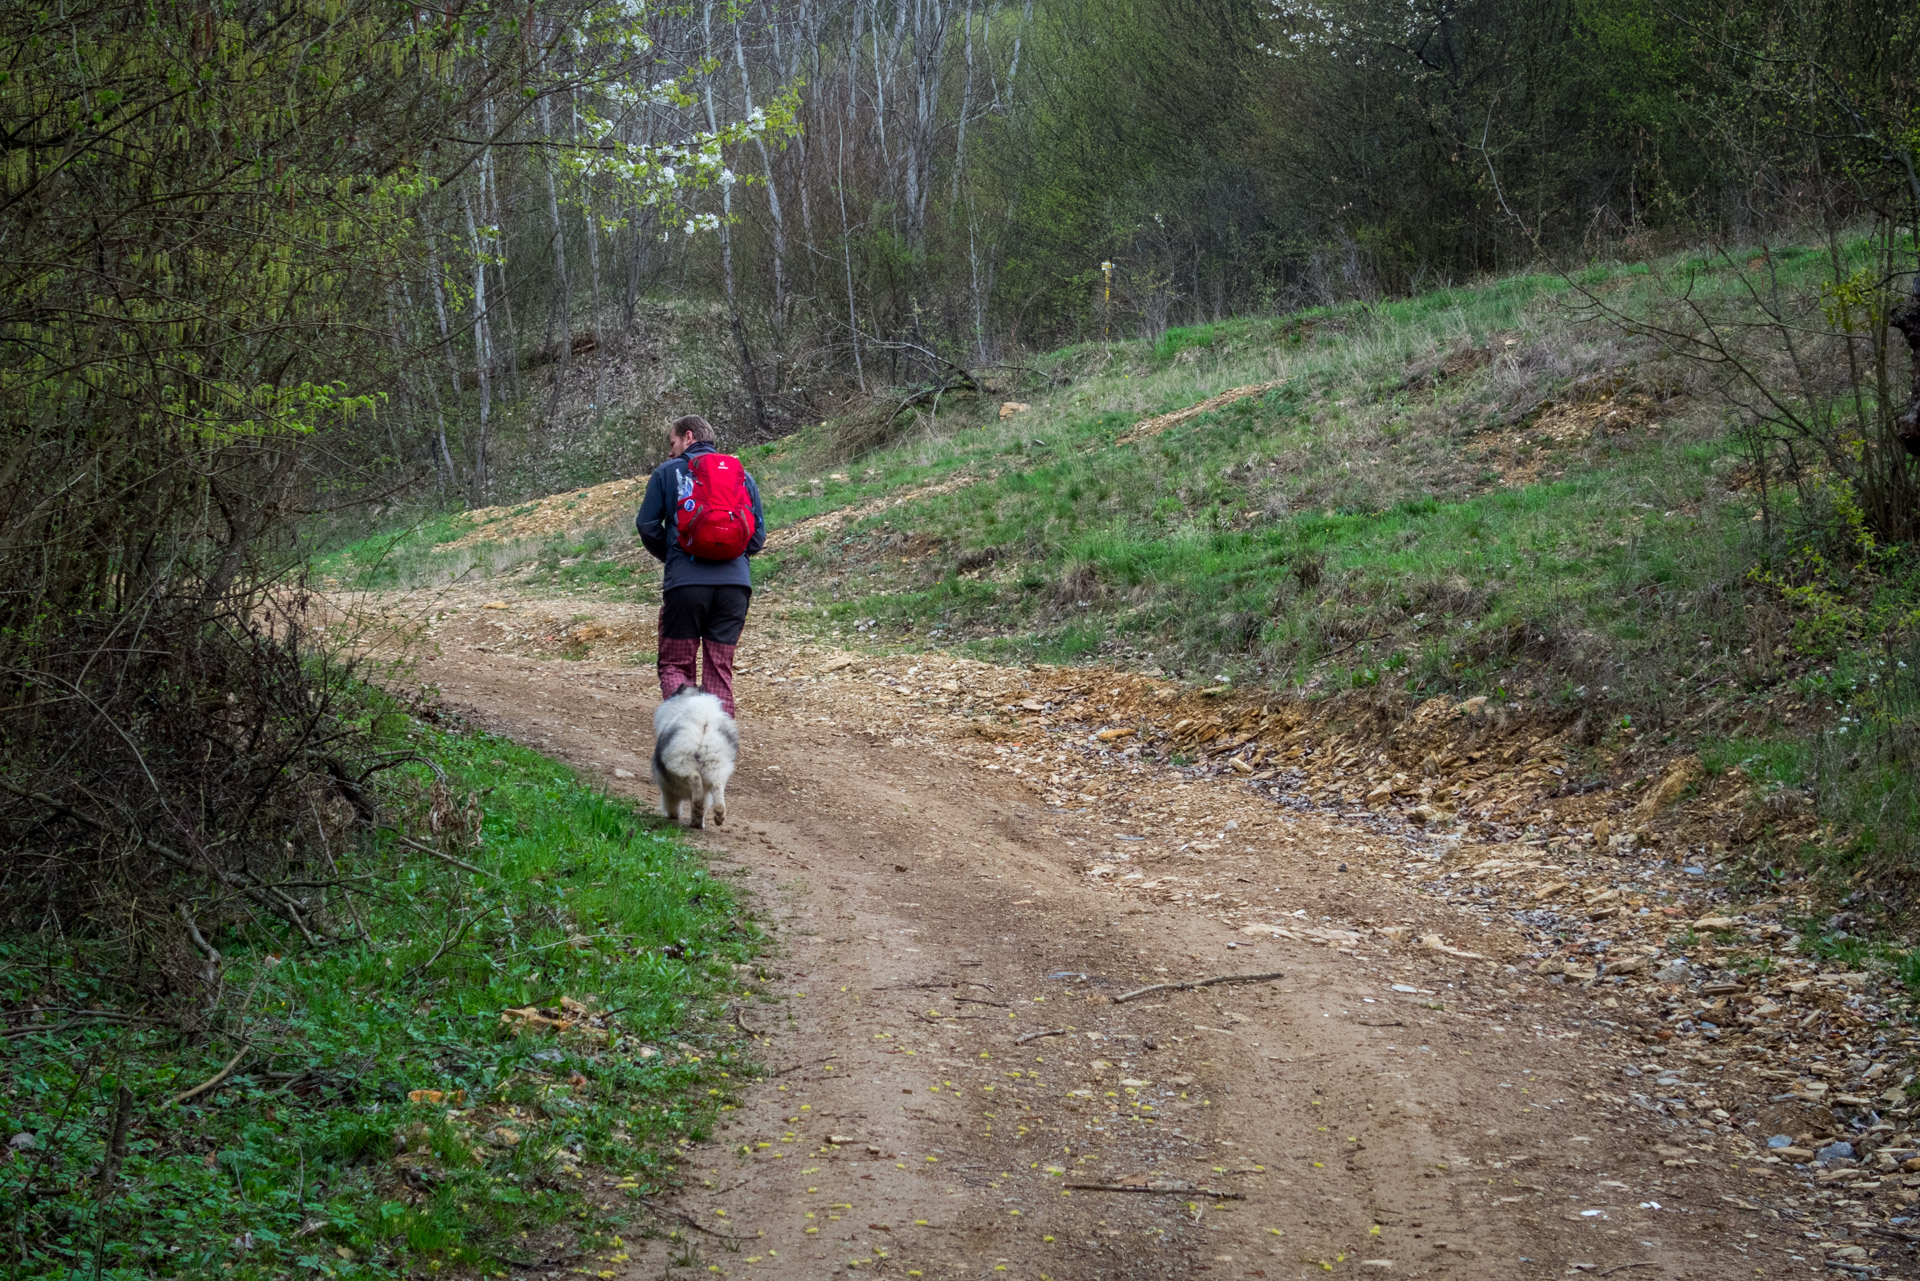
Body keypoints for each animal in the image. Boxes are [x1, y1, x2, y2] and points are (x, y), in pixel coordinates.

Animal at [645, 691, 733, 833]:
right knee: (717, 786)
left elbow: (672, 803)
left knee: (695, 779)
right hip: (717, 765)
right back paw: (719, 813)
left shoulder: (667, 788)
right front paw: (698, 822)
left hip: (679, 763)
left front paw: (673, 815)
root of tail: (703, 721)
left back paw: (697, 803)